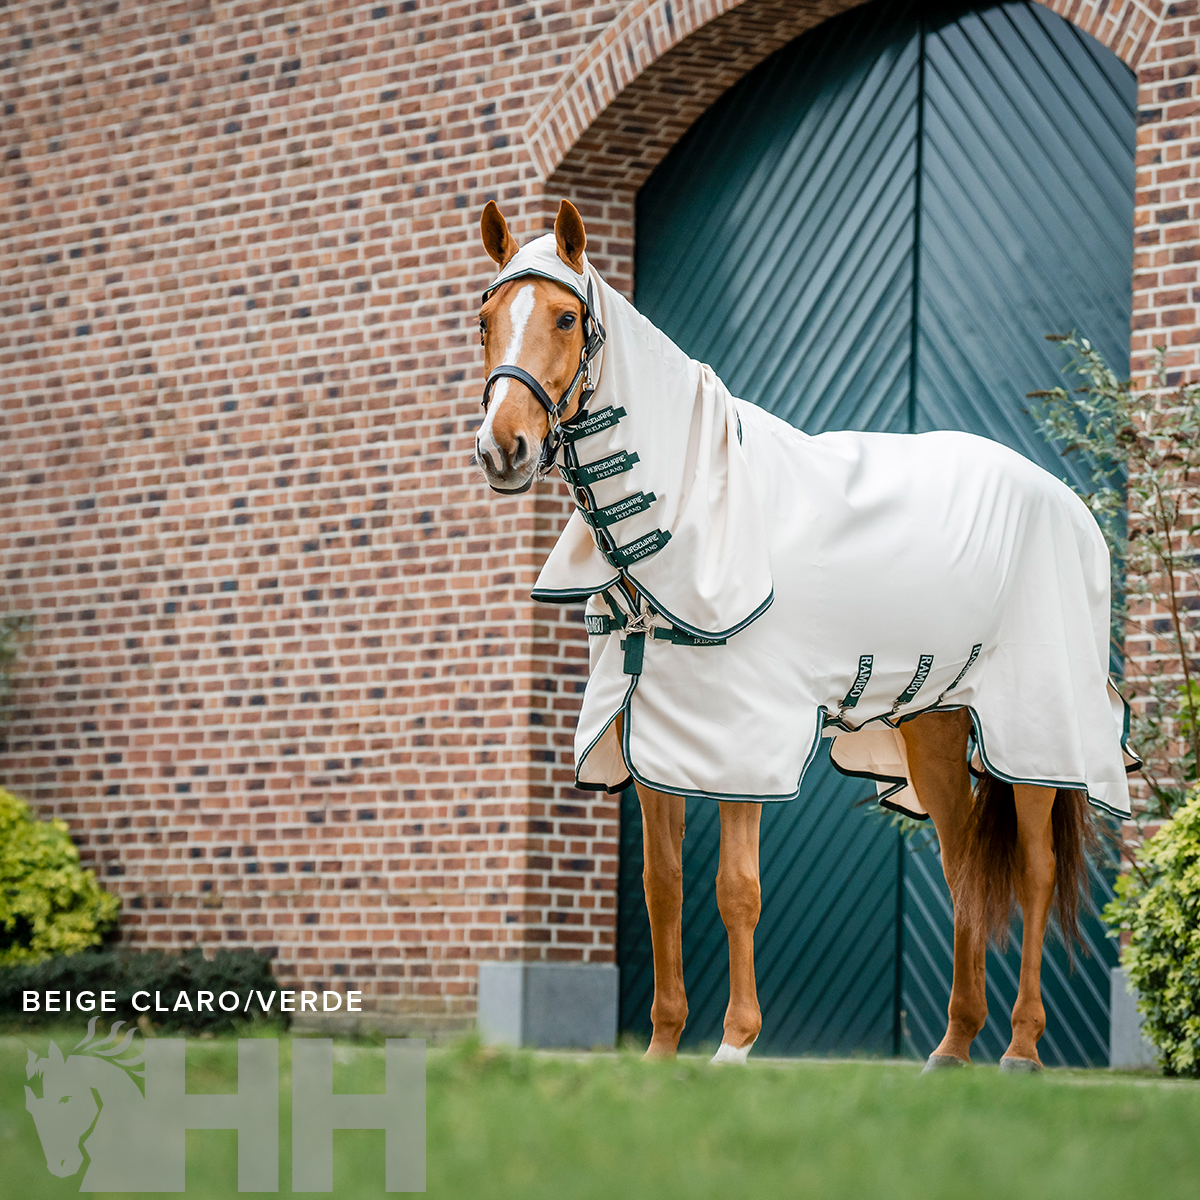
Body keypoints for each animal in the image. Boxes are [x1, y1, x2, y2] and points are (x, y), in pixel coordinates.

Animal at [473, 198, 1136, 1071]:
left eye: (565, 316)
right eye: (485, 321)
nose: (502, 449)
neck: (687, 520)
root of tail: (1067, 501)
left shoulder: (738, 737)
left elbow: (736, 888)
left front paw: (734, 1045)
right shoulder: (652, 735)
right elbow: (661, 889)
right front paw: (660, 1053)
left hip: (1037, 729)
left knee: (1033, 868)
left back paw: (1021, 1049)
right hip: (932, 723)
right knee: (962, 861)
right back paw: (953, 1046)